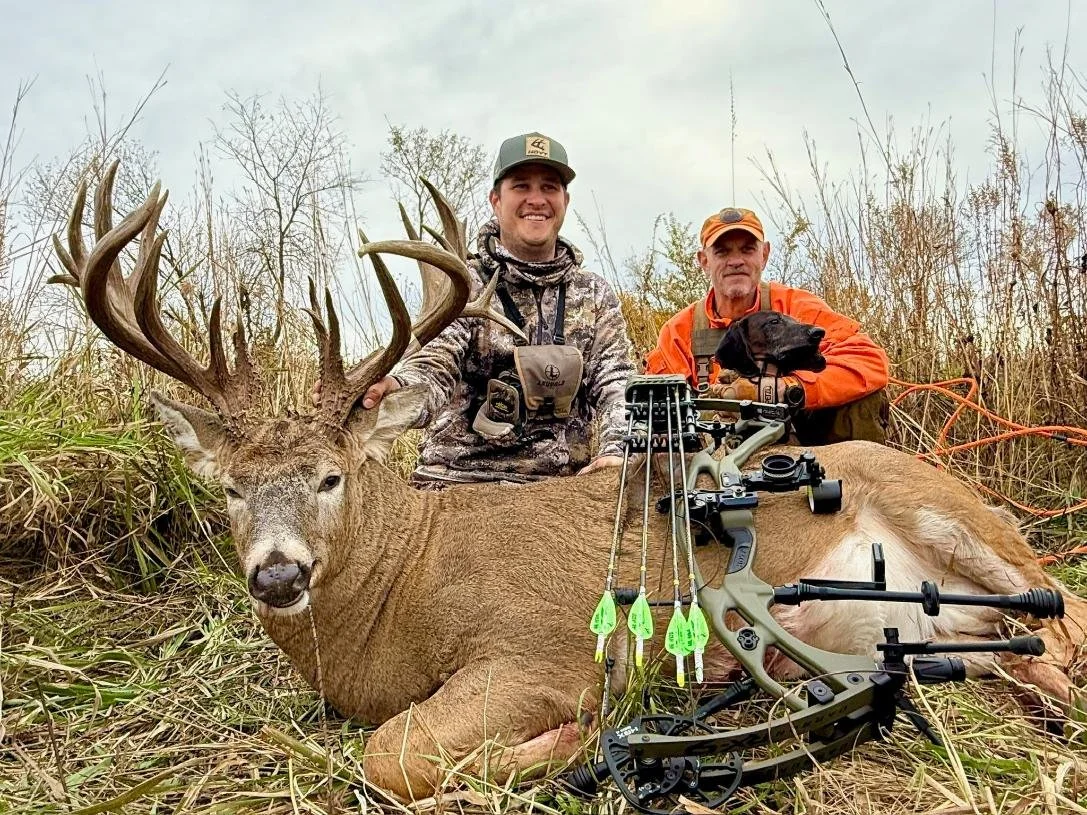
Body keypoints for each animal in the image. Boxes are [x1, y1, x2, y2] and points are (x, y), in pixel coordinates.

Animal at [52, 162, 1086, 802]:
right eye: (230, 486)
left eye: (331, 476)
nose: (277, 573)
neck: (397, 597)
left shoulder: (537, 650)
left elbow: (393, 754)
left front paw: (579, 738)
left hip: (952, 512)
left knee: (1063, 617)